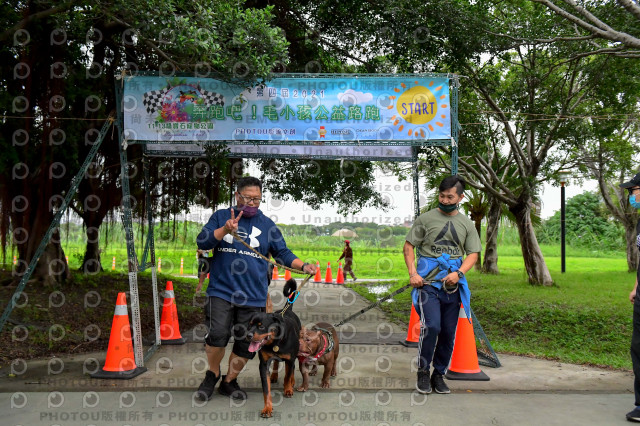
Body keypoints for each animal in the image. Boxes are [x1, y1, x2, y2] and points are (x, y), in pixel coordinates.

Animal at [248, 280, 302, 416]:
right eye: (249, 325)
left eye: (261, 326)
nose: (248, 335)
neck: (275, 342)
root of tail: (287, 310)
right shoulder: (263, 364)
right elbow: (266, 389)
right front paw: (267, 408)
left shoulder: (289, 359)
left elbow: (287, 375)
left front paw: (288, 389)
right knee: (277, 362)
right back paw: (274, 376)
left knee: (292, 369)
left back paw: (291, 382)